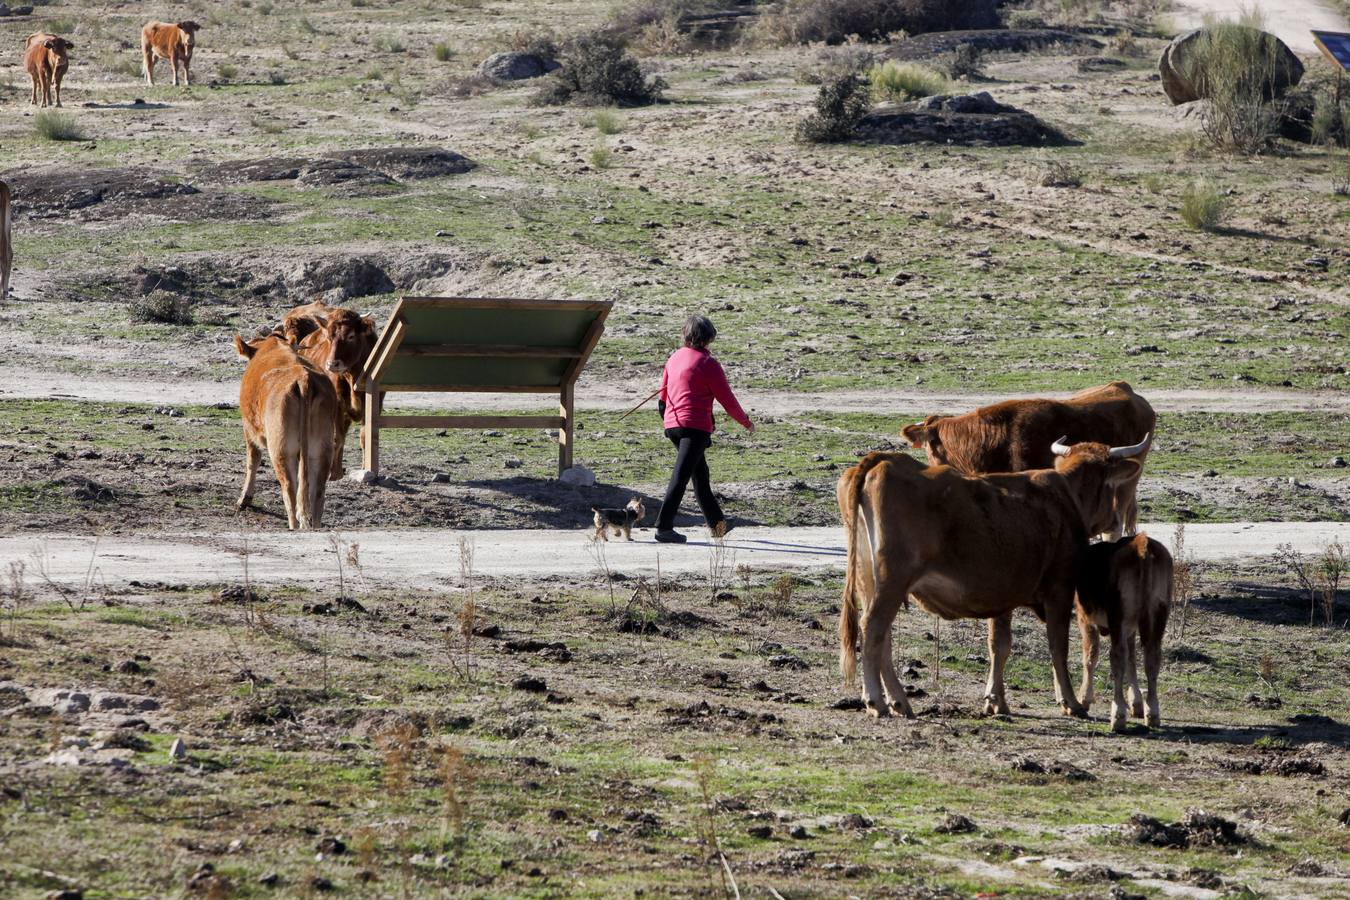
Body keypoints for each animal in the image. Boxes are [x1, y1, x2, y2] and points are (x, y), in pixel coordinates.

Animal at [234, 334, 339, 530]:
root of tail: (303, 378)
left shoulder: (249, 429)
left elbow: (252, 461)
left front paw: (244, 499)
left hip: (281, 450)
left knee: (290, 490)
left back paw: (293, 526)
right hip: (321, 450)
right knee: (317, 492)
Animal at [838, 434, 1151, 719]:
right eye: (1110, 485)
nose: (1115, 521)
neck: (1065, 498)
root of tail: (882, 459)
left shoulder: (1002, 596)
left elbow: (999, 645)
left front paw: (996, 701)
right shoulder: (1060, 589)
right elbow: (1057, 646)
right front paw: (1070, 701)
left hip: (870, 581)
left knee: (882, 638)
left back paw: (899, 701)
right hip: (892, 581)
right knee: (873, 628)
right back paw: (876, 701)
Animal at [1075, 534, 1172, 732]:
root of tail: (1142, 543)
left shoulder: (1085, 617)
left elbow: (1090, 655)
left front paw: (1085, 698)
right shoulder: (1130, 628)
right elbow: (1132, 658)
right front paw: (1136, 703)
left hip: (1118, 614)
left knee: (1117, 657)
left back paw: (1118, 714)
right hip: (1159, 612)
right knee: (1152, 657)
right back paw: (1152, 713)